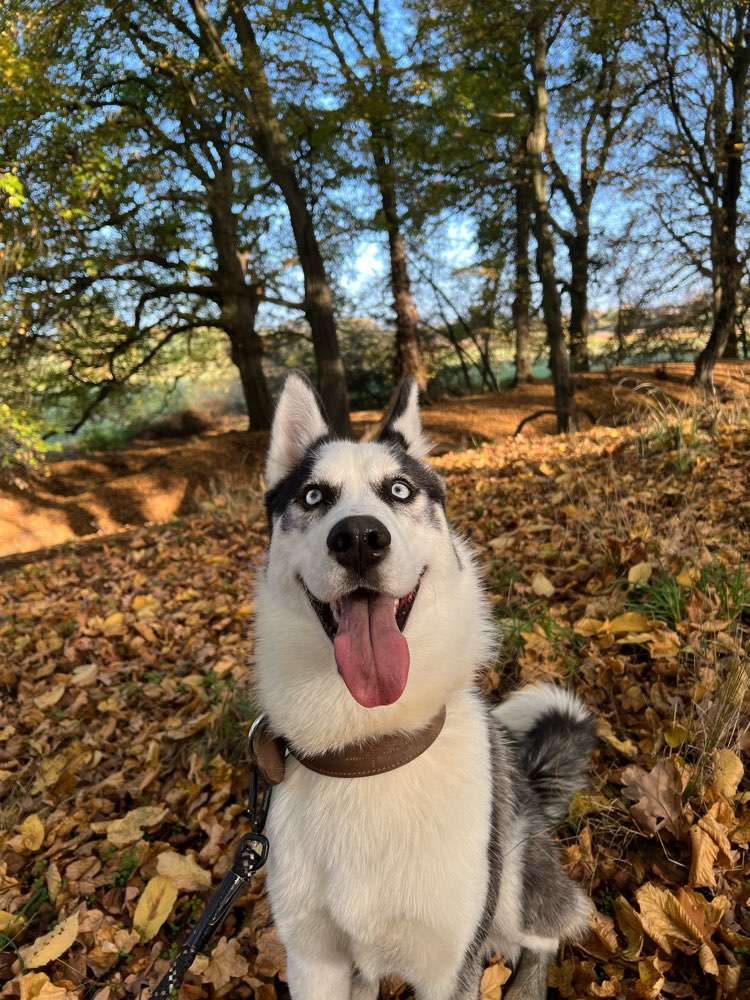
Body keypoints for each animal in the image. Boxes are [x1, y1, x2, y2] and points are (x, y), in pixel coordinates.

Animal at [256, 374, 596, 1000]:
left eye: (399, 490)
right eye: (313, 497)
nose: (358, 537)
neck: (370, 750)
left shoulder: (448, 967)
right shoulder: (313, 961)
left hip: (511, 881)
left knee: (546, 932)